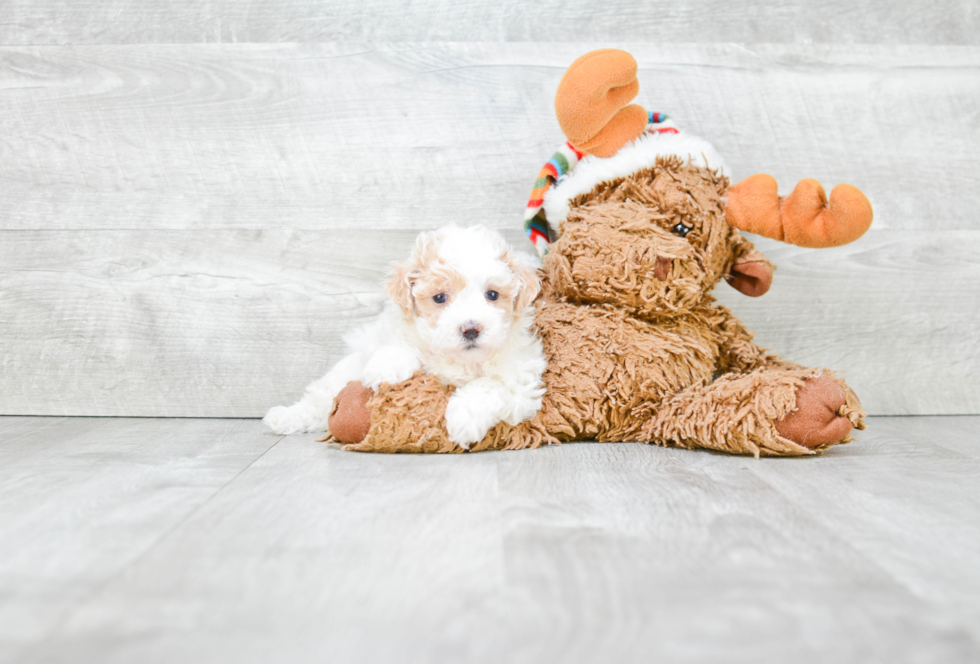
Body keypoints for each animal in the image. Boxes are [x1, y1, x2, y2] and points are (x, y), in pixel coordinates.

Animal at [264, 226, 548, 448]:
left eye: (492, 295)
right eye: (439, 297)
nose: (470, 328)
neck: (459, 360)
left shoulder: (522, 381)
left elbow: (489, 386)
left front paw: (464, 418)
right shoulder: (395, 331)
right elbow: (398, 345)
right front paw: (387, 369)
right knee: (320, 399)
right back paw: (284, 417)